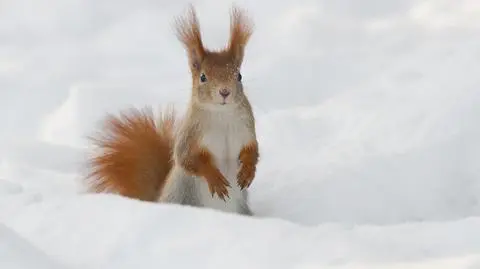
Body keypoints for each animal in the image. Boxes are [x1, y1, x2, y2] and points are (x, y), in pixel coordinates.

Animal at [85, 5, 258, 215]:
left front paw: (248, 171)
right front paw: (214, 178)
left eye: (239, 75)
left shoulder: (247, 128)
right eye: (203, 77)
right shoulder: (190, 134)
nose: (225, 92)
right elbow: (186, 158)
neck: (221, 115)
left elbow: (253, 150)